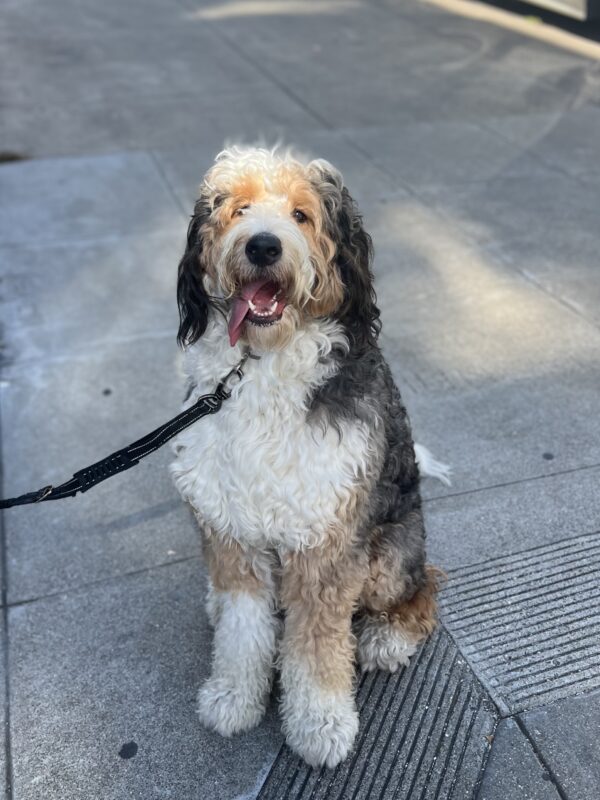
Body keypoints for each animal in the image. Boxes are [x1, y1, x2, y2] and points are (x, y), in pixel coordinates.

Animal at [171, 145, 448, 768]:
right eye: (238, 208)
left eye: (301, 215)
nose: (262, 246)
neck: (260, 366)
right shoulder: (232, 526)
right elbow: (244, 626)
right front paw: (234, 696)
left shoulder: (326, 539)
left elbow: (318, 644)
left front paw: (320, 723)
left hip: (388, 555)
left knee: (423, 587)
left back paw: (389, 637)